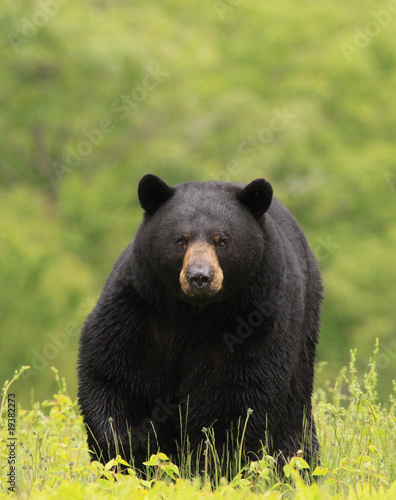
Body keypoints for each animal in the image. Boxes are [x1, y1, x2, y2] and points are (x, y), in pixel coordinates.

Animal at [77, 174, 322, 474]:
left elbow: (236, 395)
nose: (200, 277)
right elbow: (116, 375)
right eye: (180, 240)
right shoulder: (139, 309)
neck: (194, 313)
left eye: (222, 241)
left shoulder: (254, 320)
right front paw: (126, 452)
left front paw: (209, 466)